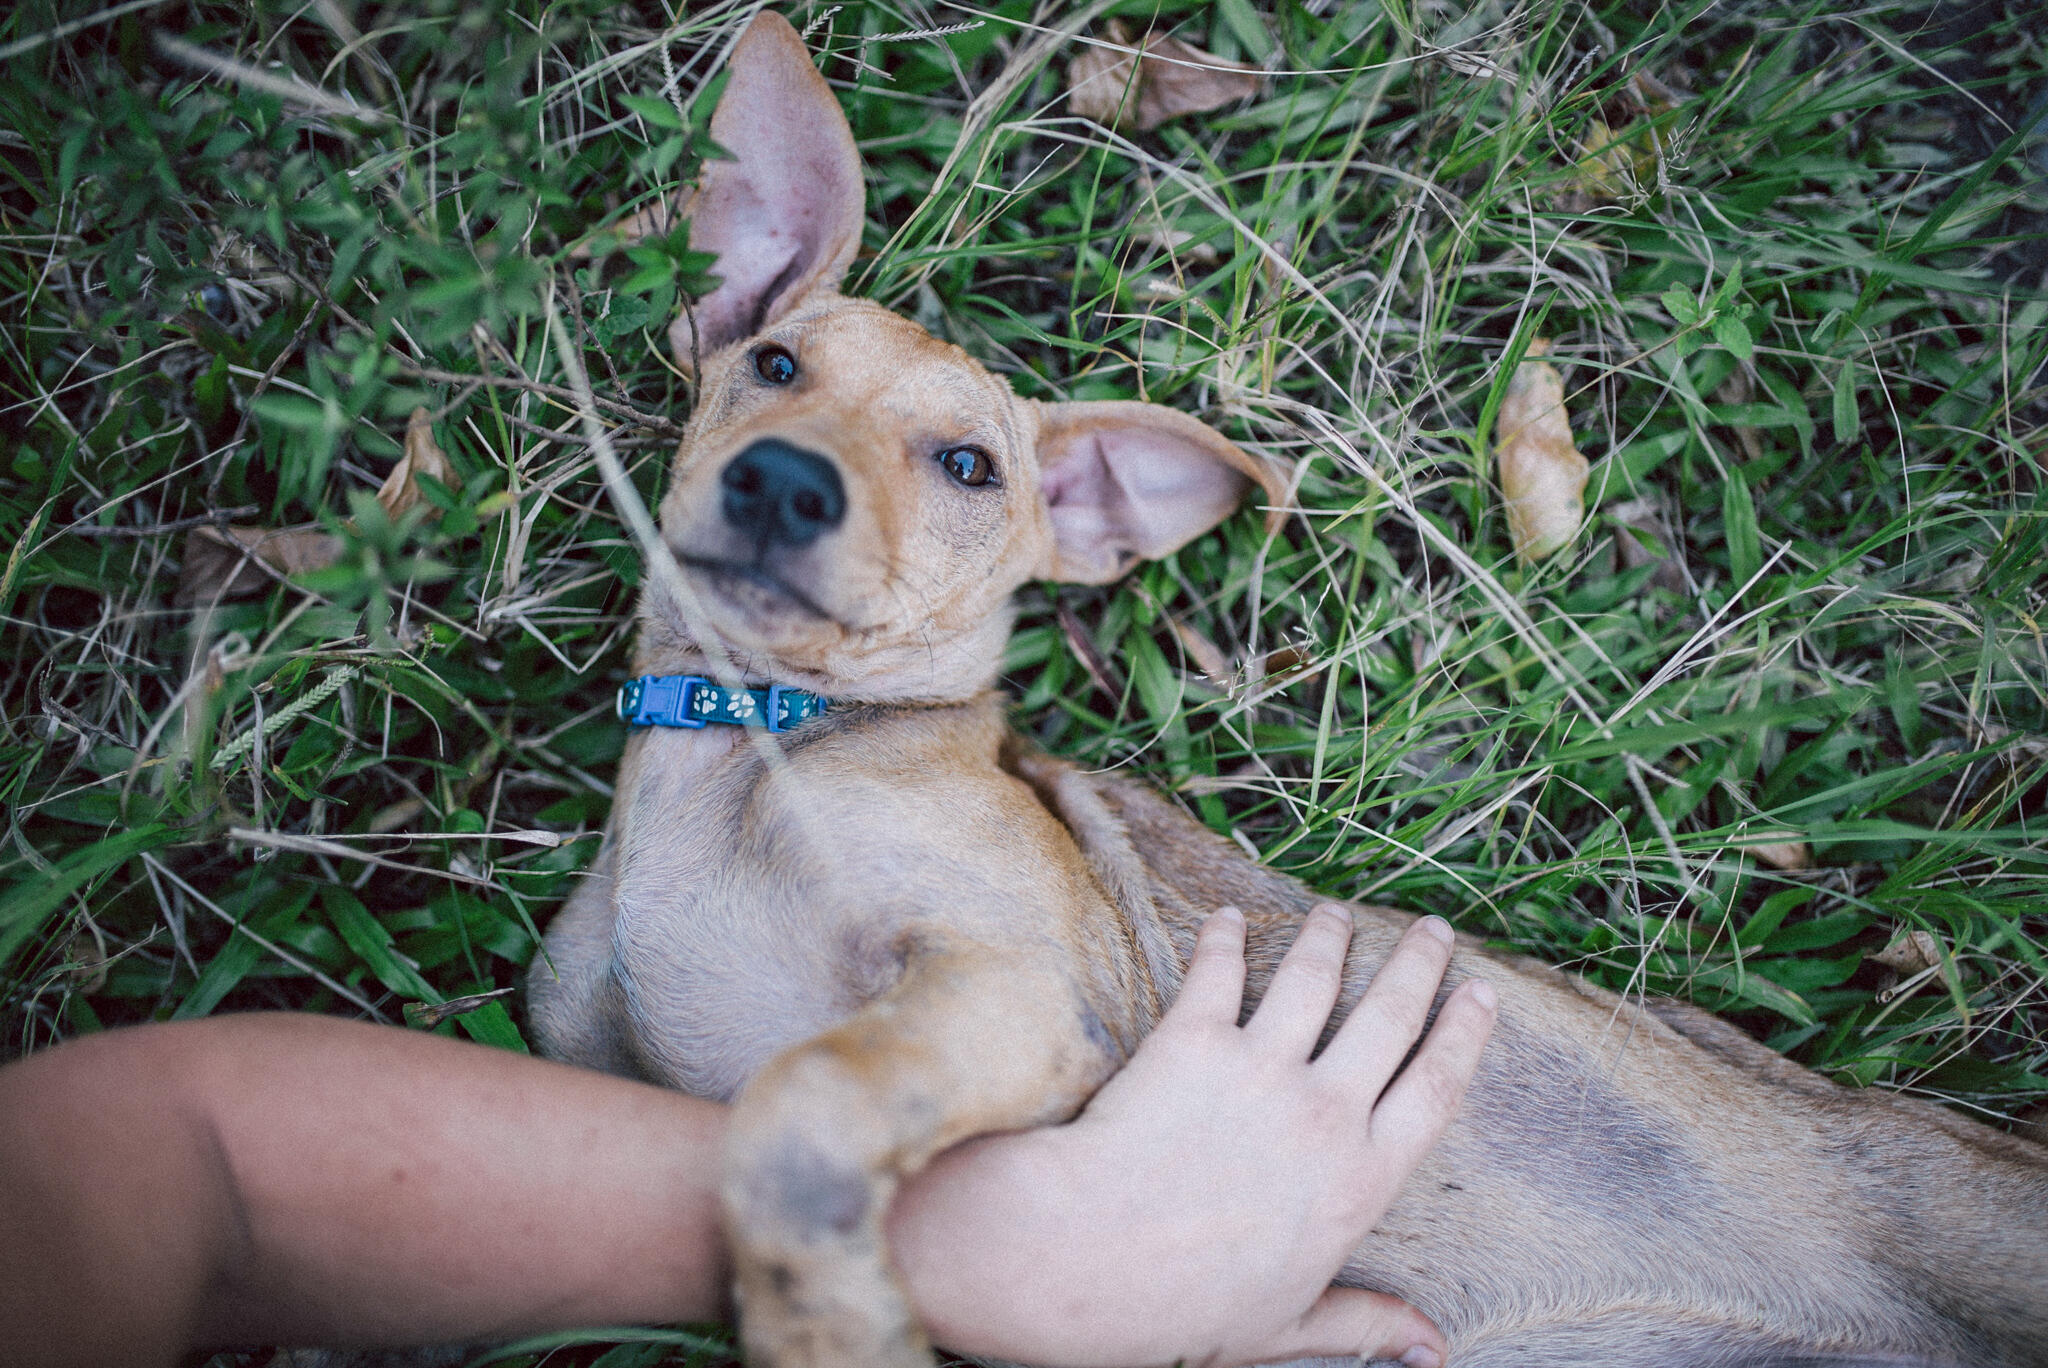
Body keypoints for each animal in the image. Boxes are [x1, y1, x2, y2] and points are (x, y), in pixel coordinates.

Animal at [532, 13, 2048, 1368]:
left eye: (970, 467)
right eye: (773, 364)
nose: (782, 484)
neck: (749, 744)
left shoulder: (1016, 990)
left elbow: (800, 1096)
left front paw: (827, 1318)